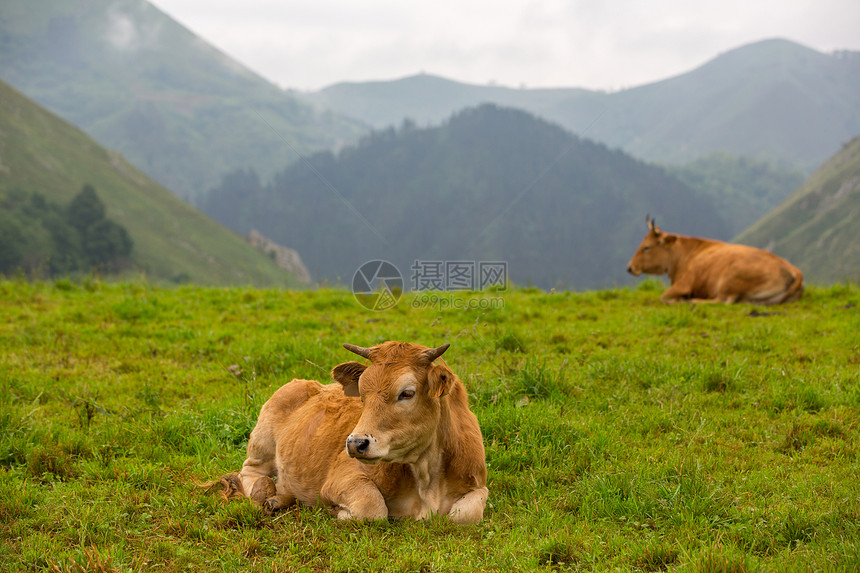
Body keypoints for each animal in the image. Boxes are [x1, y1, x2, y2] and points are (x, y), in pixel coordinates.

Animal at [218, 340, 488, 524]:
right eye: (362, 395)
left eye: (407, 393)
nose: (356, 443)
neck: (427, 479)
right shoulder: (342, 476)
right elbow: (372, 508)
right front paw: (336, 511)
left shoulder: (478, 484)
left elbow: (464, 514)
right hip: (261, 445)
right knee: (251, 473)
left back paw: (279, 499)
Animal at [628, 217, 804, 304]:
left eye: (646, 247)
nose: (629, 267)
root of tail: (793, 269)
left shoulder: (683, 284)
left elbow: (662, 297)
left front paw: (678, 299)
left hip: (728, 280)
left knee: (723, 301)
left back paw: (692, 301)